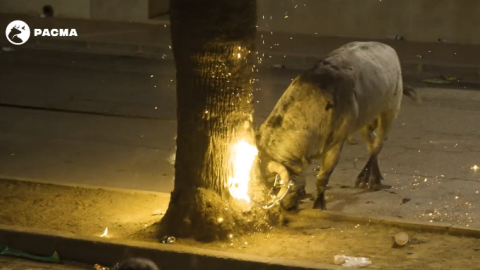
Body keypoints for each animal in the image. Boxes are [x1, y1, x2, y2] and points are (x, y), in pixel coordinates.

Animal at [256, 41, 418, 211]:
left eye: (275, 185)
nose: (286, 208)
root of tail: (389, 48)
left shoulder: (336, 145)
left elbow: (323, 176)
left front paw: (319, 203)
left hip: (389, 111)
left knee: (378, 144)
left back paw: (366, 177)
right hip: (365, 123)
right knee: (371, 144)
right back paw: (375, 177)